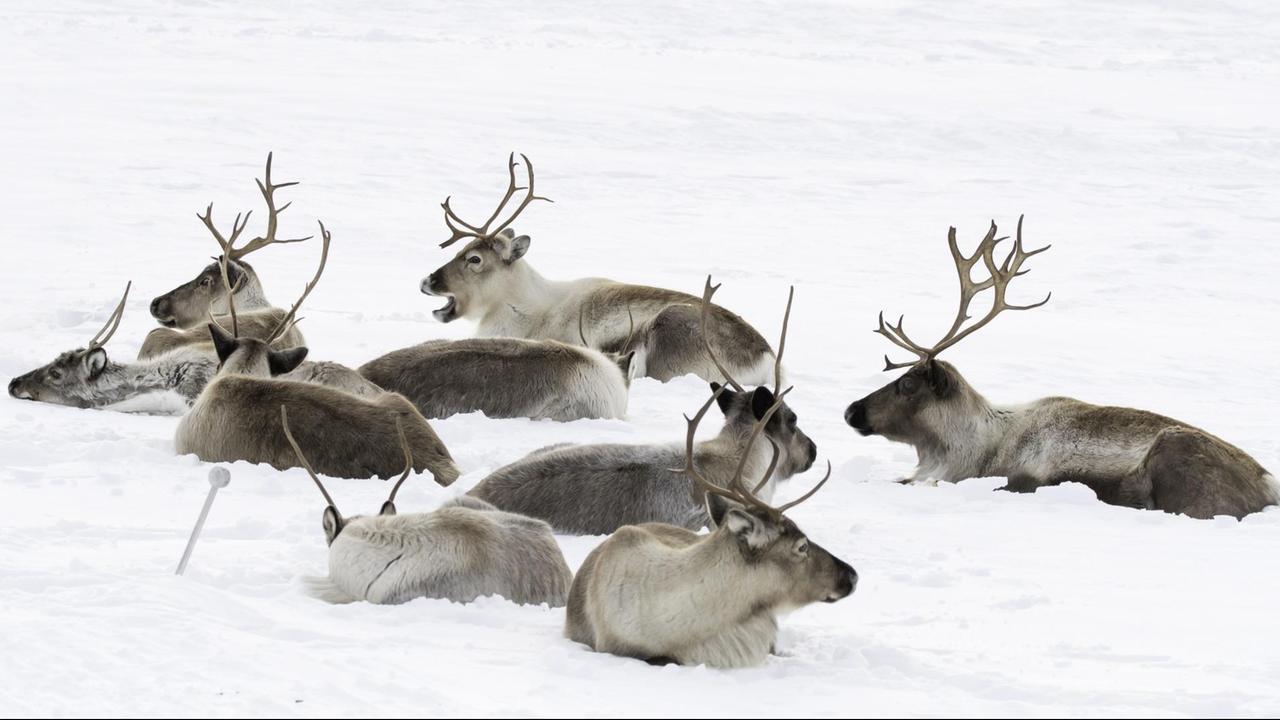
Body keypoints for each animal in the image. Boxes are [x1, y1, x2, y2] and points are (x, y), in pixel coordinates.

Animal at [844, 215, 1274, 517]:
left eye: (907, 383)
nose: (850, 411)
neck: (970, 446)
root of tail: (1271, 486)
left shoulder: (1015, 479)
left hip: (1177, 458)